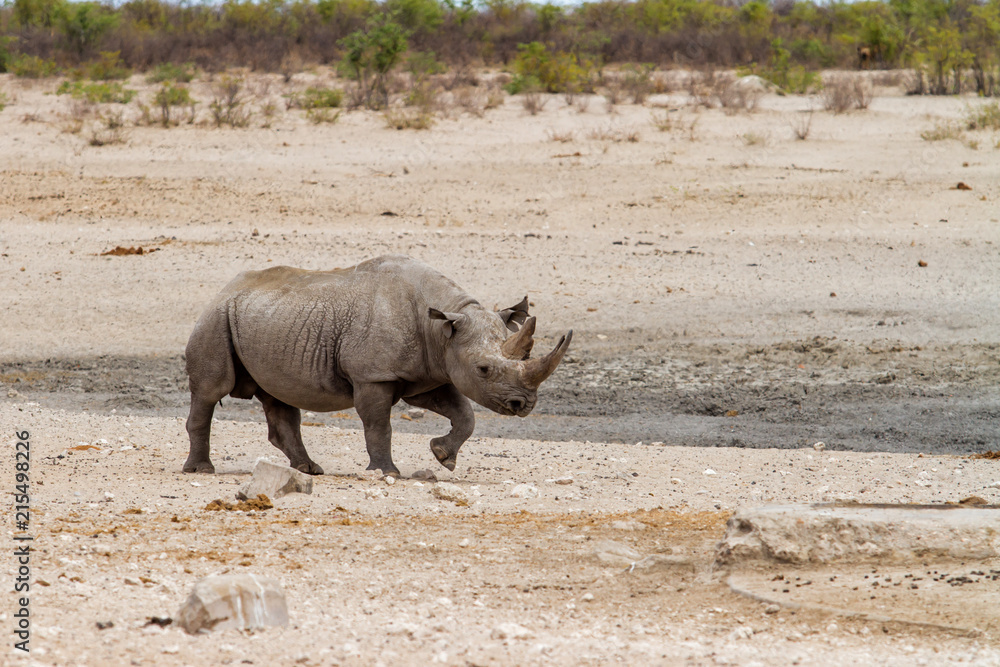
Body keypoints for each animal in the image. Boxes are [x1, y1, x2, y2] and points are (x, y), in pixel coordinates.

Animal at [183, 254, 572, 477]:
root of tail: (223, 288)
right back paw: (201, 471)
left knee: (278, 397)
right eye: (483, 370)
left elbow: (465, 415)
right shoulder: (373, 375)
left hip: (268, 320)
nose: (523, 404)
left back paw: (309, 470)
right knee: (210, 391)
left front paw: (442, 456)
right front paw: (388, 472)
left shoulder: (428, 374)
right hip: (216, 318)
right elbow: (378, 426)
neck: (441, 327)